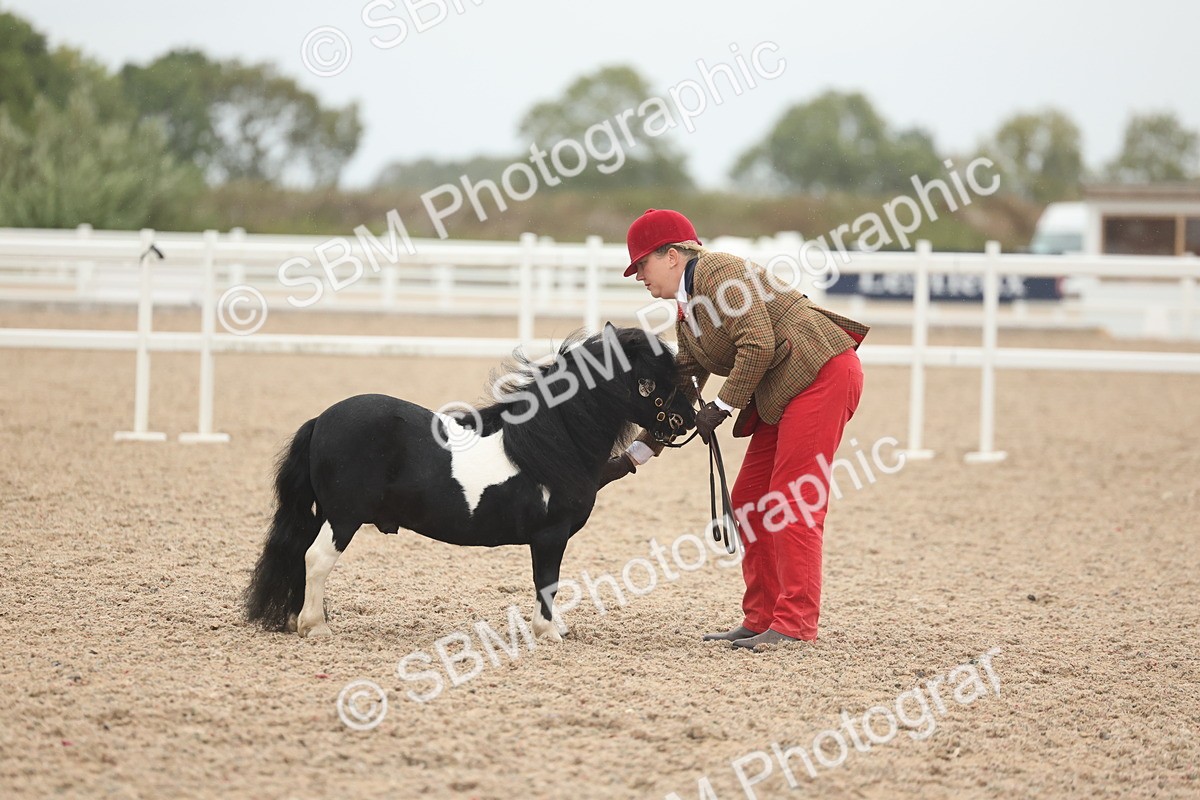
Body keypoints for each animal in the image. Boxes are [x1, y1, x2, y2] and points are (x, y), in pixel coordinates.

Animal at [244, 324, 696, 641]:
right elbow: (547, 582)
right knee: (316, 559)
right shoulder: (550, 535)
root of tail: (322, 420)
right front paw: (548, 632)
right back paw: (315, 626)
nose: (691, 418)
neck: (553, 442)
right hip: (343, 517)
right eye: (653, 379)